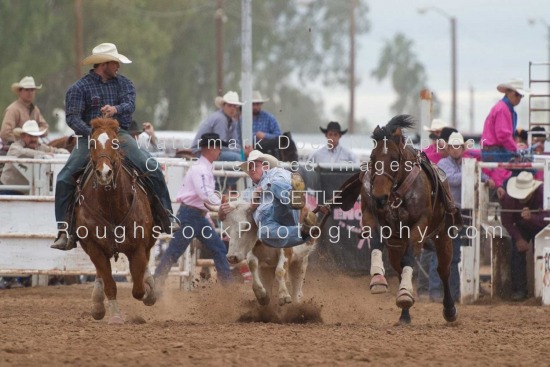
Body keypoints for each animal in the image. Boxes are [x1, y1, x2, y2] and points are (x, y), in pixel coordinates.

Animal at [74, 118, 156, 324]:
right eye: (92, 143)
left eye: (116, 143)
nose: (104, 173)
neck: (111, 206)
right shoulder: (94, 247)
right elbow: (110, 284)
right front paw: (115, 316)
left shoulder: (137, 247)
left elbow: (138, 289)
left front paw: (148, 291)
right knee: (101, 275)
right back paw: (97, 304)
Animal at [354, 115, 458, 324]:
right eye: (373, 158)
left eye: (394, 160)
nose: (379, 197)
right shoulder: (369, 214)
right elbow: (376, 242)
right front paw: (378, 280)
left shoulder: (419, 224)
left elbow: (411, 257)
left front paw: (404, 293)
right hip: (396, 245)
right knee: (400, 267)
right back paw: (405, 315)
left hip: (443, 237)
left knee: (443, 271)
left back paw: (449, 310)